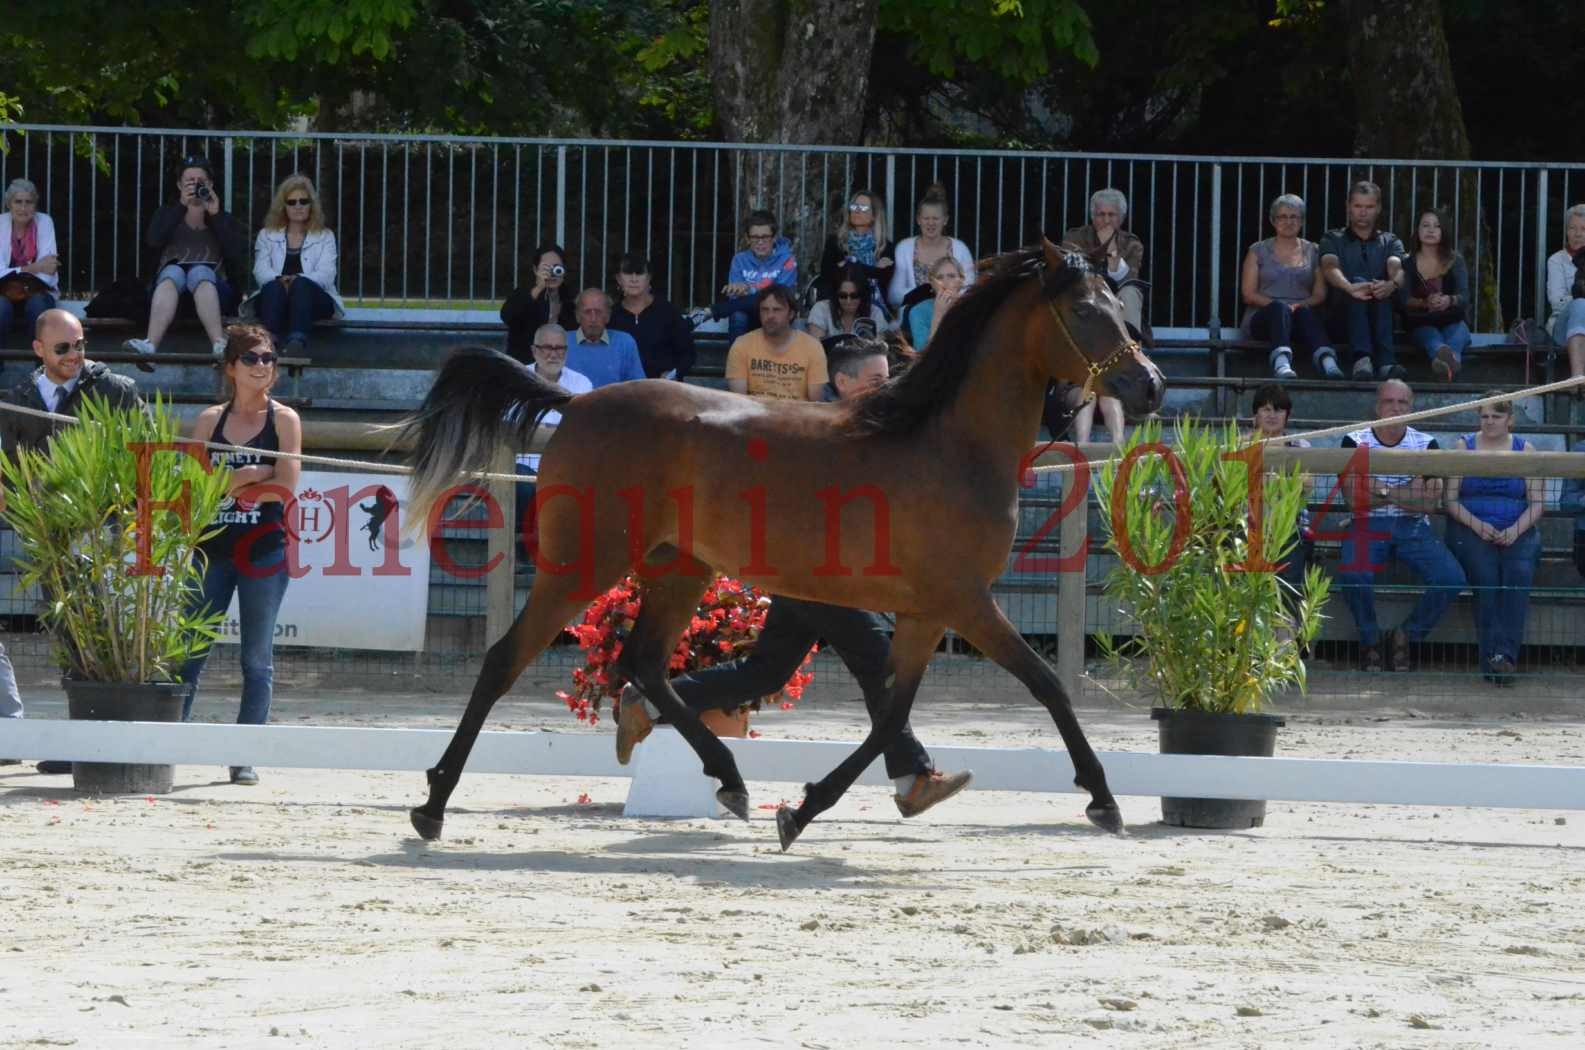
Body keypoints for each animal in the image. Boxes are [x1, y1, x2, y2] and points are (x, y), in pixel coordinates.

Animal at [396, 236, 1166, 850]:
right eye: (1084, 311)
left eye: (1114, 301)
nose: (1150, 386)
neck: (947, 445)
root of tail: (578, 402)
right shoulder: (966, 601)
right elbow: (1043, 685)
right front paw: (1103, 799)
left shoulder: (926, 611)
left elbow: (893, 713)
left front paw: (806, 809)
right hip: (583, 562)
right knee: (507, 658)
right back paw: (431, 805)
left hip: (680, 569)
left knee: (644, 665)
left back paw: (728, 780)